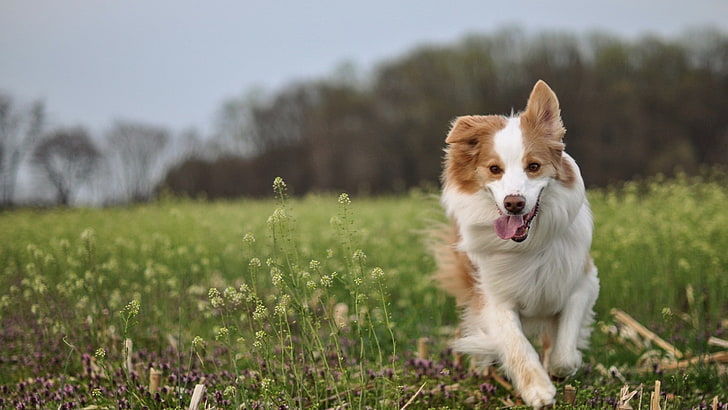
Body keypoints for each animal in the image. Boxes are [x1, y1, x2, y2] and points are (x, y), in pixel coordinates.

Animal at [436, 80, 600, 406]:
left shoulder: (582, 283)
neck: (527, 244)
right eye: (494, 169)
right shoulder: (494, 298)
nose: (514, 203)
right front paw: (538, 389)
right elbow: (517, 346)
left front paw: (560, 368)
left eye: (533, 166)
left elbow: (564, 347)